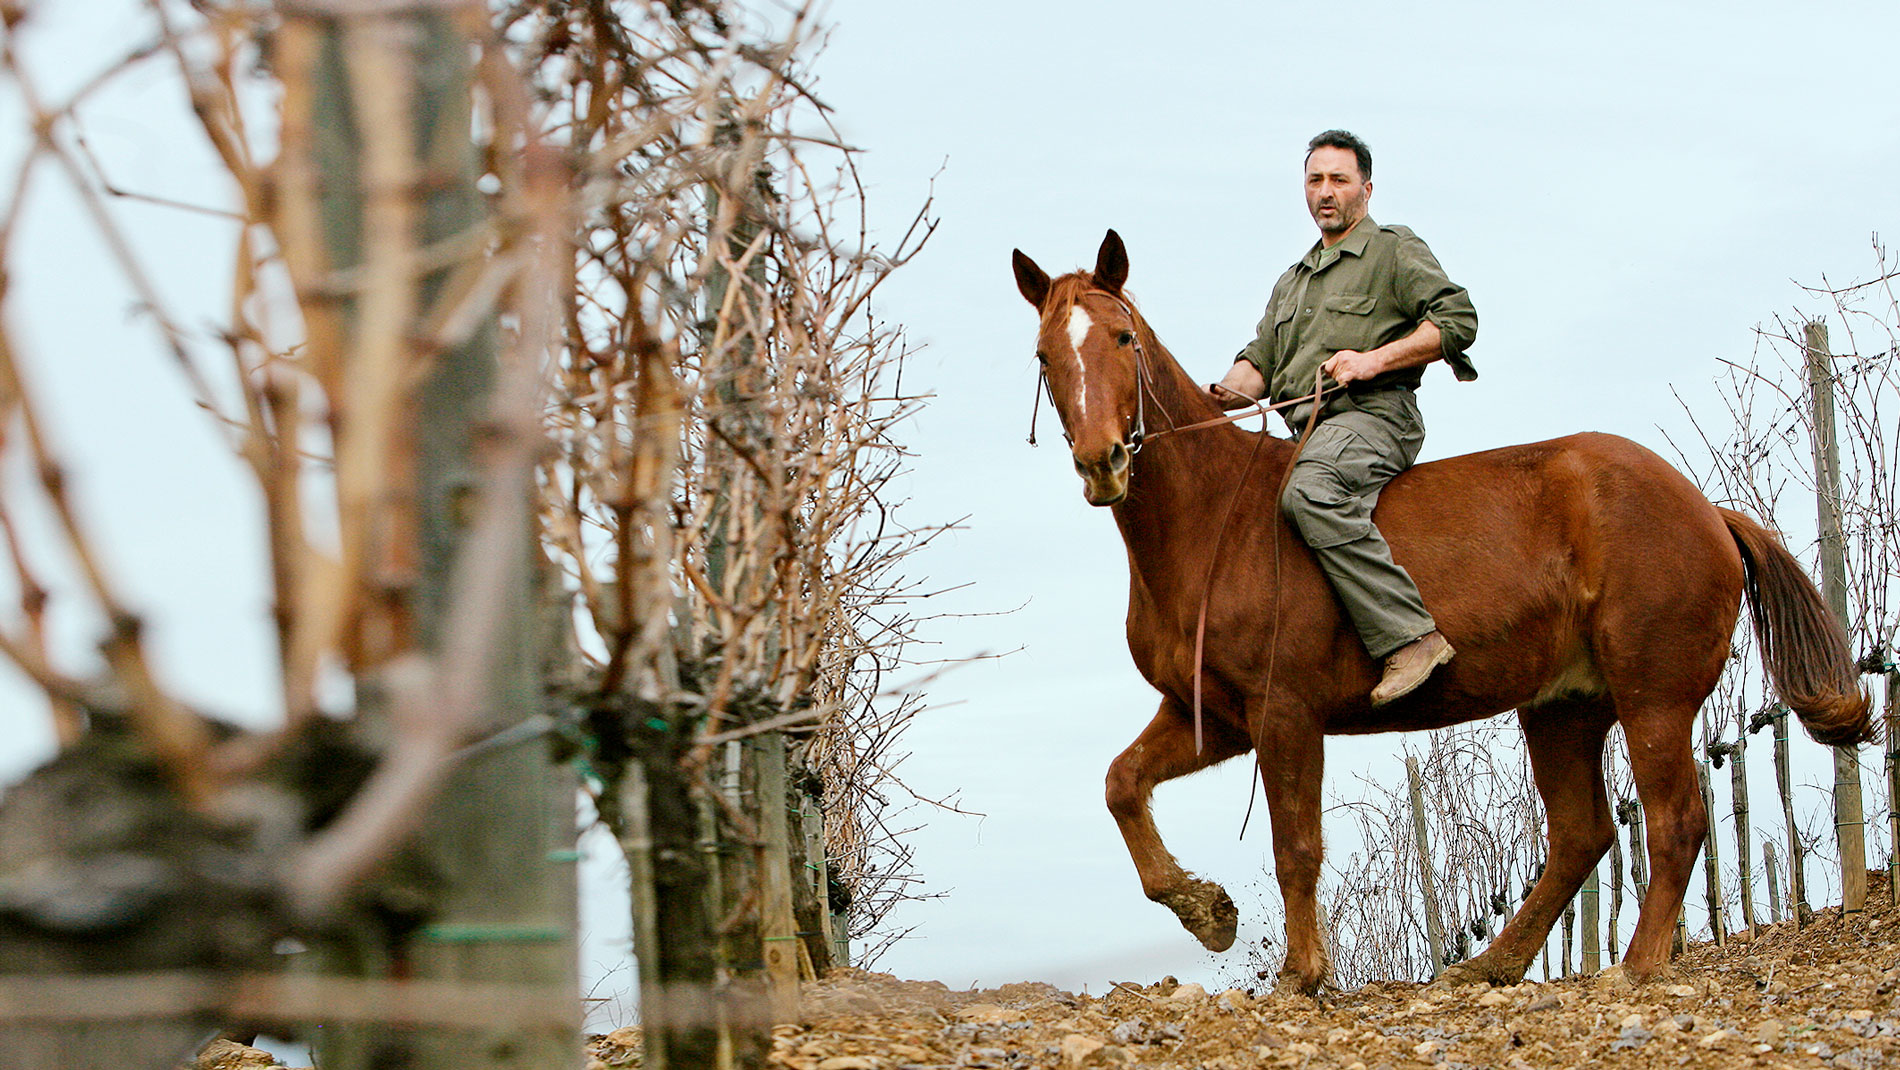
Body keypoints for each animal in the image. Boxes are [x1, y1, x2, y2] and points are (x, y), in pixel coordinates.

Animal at [1010, 229, 1869, 995]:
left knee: (1674, 818)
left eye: (1123, 337)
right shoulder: (1213, 714)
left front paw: (1301, 973)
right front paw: (1206, 911)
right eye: (1045, 356)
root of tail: (1705, 510)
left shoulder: (1284, 712)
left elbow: (1296, 845)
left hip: (1652, 695)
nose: (1102, 462)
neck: (1217, 517)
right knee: (1582, 833)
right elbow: (1122, 785)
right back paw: (1492, 964)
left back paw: (1637, 965)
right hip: (1565, 706)